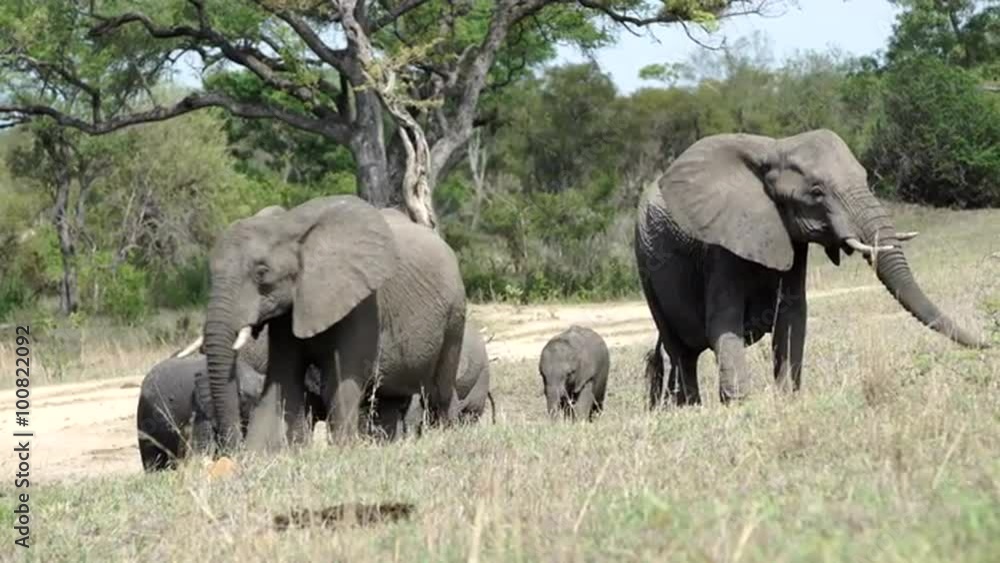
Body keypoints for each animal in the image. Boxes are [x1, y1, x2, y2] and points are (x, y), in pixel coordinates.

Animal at [192, 196, 466, 454]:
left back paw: (446, 433)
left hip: (454, 316)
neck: (289, 225)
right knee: (389, 400)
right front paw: (255, 456)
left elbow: (339, 380)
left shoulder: (363, 302)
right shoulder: (289, 311)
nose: (231, 449)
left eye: (261, 272)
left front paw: (344, 449)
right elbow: (281, 380)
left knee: (439, 390)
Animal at [634, 129, 988, 408]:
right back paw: (690, 408)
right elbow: (723, 322)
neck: (774, 148)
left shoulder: (791, 239)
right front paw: (740, 406)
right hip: (645, 260)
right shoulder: (720, 244)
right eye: (816, 192)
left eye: (865, 178)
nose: (988, 345)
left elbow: (792, 315)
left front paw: (787, 399)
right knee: (680, 352)